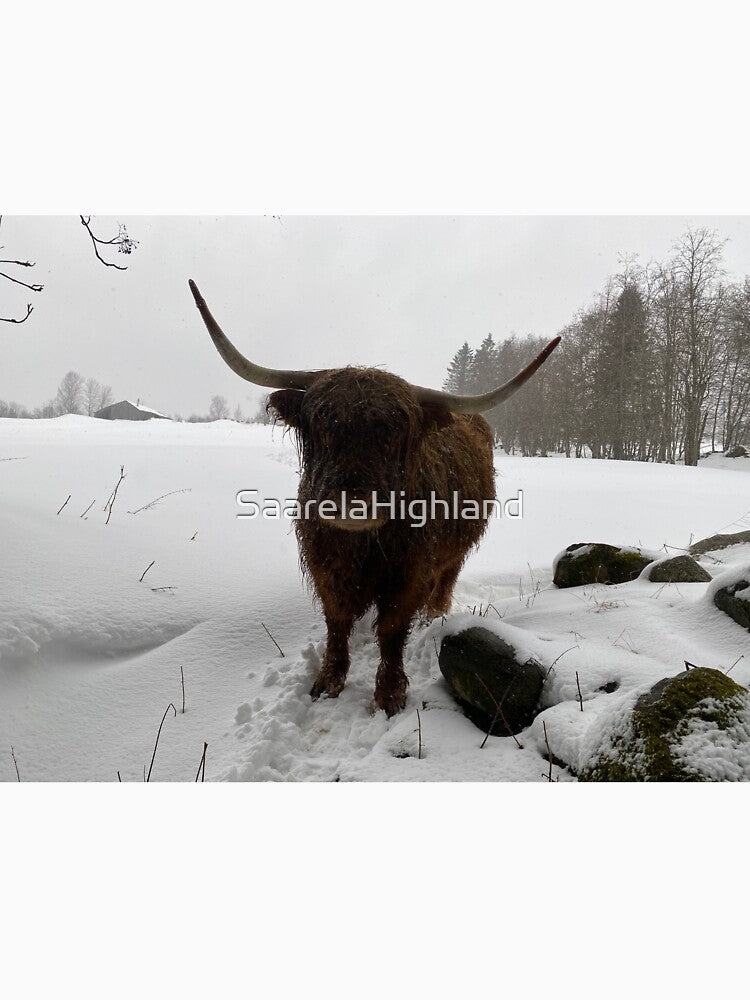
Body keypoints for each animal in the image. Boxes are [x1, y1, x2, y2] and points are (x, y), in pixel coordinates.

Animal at [189, 280, 560, 716]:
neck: (361, 545)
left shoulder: (408, 573)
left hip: (456, 551)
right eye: (321, 419)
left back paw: (433, 615)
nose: (353, 502)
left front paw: (390, 694)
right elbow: (337, 623)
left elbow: (393, 630)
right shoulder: (325, 567)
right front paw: (328, 682)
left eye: (397, 428)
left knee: (444, 581)